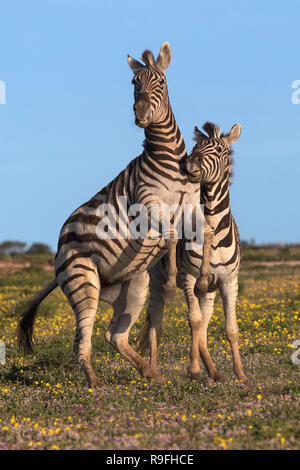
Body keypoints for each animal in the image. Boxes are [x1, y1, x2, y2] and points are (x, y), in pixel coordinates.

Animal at [15, 43, 204, 390]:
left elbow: (187, 234)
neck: (168, 158)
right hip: (83, 282)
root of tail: (60, 245)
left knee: (115, 336)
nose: (140, 114)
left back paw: (150, 372)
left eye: (160, 82)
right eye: (134, 83)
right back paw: (93, 381)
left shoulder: (189, 206)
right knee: (82, 338)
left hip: (134, 284)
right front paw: (172, 281)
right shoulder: (146, 203)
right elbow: (170, 236)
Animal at [139, 121, 247, 382]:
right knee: (156, 326)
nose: (189, 165)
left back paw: (213, 371)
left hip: (209, 291)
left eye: (219, 150)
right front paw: (194, 369)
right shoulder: (189, 277)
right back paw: (154, 373)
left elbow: (230, 328)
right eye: (195, 147)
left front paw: (240, 373)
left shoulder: (229, 281)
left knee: (204, 328)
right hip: (157, 282)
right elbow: (194, 321)